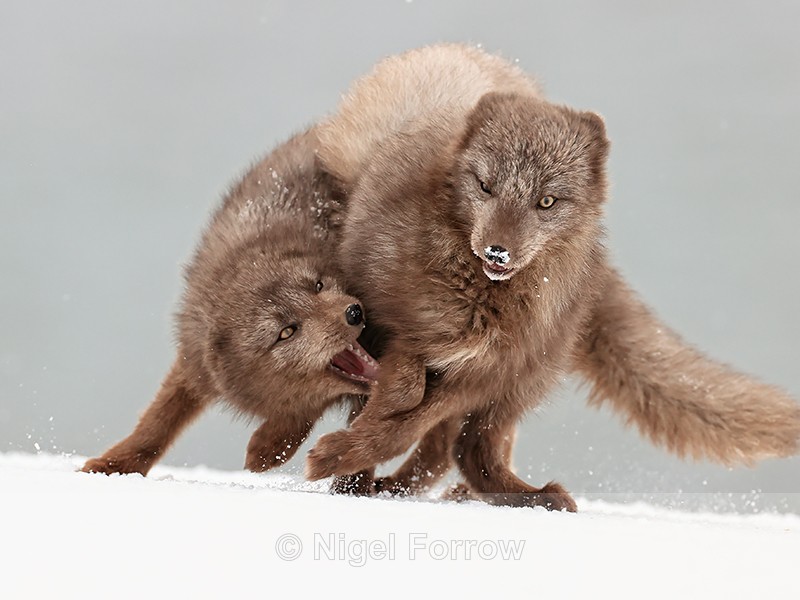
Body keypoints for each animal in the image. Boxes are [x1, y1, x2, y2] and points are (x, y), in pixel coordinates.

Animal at [305, 43, 800, 511]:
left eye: (546, 201)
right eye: (485, 186)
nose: (497, 251)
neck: (477, 306)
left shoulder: (490, 371)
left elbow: (415, 422)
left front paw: (342, 454)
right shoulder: (389, 324)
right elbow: (404, 389)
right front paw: (350, 456)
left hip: (530, 376)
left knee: (466, 448)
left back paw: (522, 495)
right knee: (454, 445)